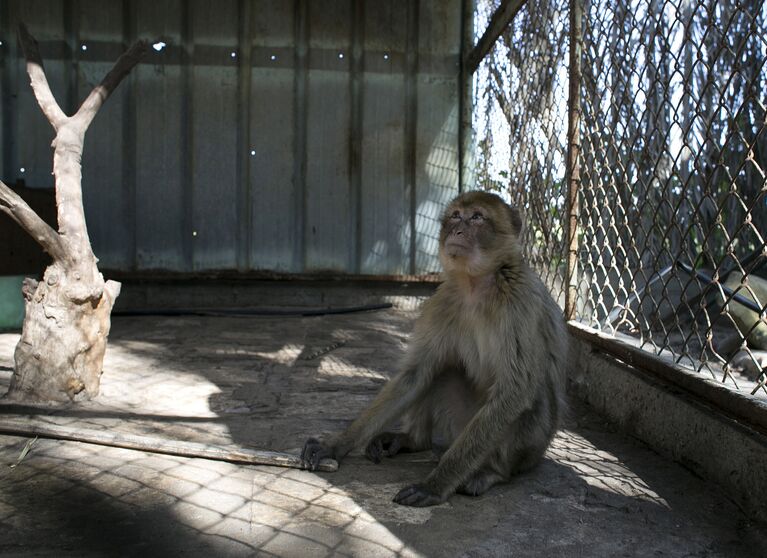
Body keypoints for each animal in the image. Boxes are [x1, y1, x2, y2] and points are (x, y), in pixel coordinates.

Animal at [304, 191, 568, 508]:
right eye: (455, 216)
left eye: (477, 217)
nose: (457, 231)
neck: (476, 284)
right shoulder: (442, 300)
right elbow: (416, 374)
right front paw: (337, 444)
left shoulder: (519, 300)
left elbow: (514, 391)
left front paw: (437, 483)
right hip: (458, 426)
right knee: (440, 371)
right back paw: (414, 441)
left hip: (526, 448)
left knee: (532, 397)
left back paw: (492, 472)